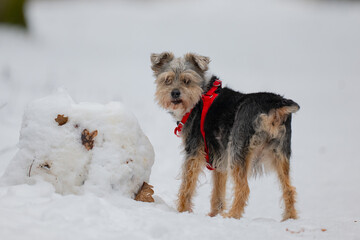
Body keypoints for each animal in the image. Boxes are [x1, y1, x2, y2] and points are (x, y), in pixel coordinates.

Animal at [150, 52, 300, 221]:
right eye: (167, 80)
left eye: (187, 81)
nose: (175, 93)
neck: (200, 95)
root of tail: (275, 105)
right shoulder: (219, 158)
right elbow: (218, 192)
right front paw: (213, 215)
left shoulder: (194, 152)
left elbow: (187, 185)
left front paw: (182, 211)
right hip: (280, 154)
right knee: (289, 189)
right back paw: (290, 218)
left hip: (238, 150)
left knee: (244, 188)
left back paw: (232, 216)